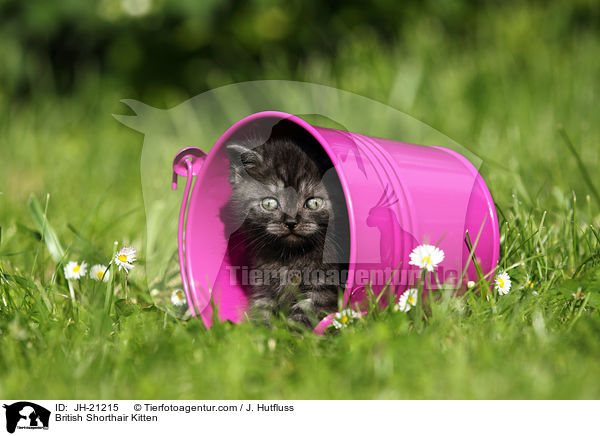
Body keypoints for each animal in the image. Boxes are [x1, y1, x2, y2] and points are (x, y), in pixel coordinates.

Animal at [226, 135, 346, 326]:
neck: (289, 257)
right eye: (269, 203)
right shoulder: (262, 284)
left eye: (314, 203)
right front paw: (259, 333)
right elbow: (262, 313)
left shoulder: (322, 287)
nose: (291, 222)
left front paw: (294, 334)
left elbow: (304, 318)